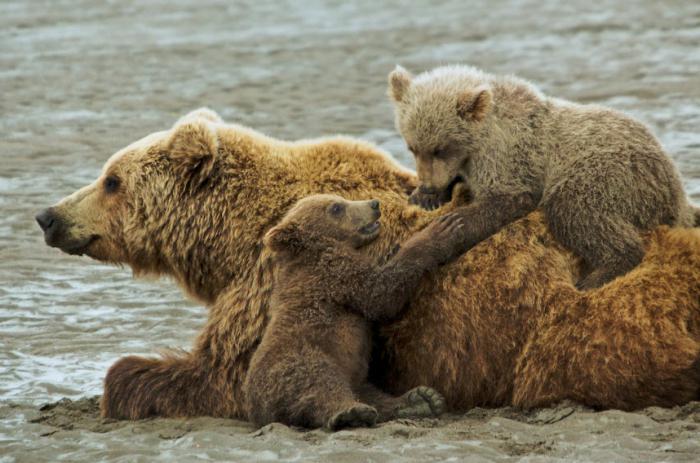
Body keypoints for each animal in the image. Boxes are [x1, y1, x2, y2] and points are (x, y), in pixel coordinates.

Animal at [245, 194, 454, 430]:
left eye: (341, 198)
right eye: (336, 207)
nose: (374, 204)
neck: (317, 247)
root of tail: (257, 411)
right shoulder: (334, 273)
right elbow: (380, 293)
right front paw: (440, 231)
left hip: (354, 378)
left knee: (368, 392)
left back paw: (420, 400)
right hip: (297, 359)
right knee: (320, 381)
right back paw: (351, 412)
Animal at [388, 65, 700, 290]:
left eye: (441, 148)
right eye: (412, 147)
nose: (429, 183)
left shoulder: (509, 156)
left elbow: (507, 198)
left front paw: (454, 221)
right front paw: (425, 197)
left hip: (613, 172)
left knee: (575, 210)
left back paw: (597, 275)